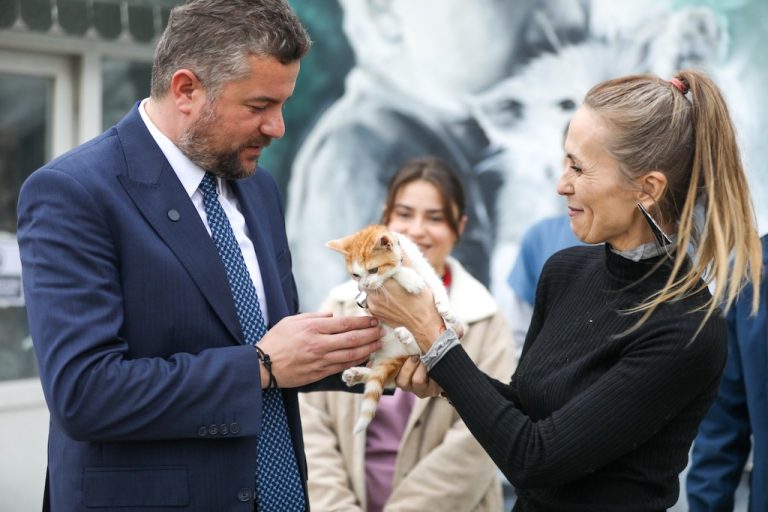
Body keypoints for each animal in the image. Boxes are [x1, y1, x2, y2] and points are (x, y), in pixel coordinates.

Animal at [326, 224, 462, 432]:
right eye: (356, 275)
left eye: (373, 270)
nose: (365, 284)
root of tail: (398, 354)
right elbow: (396, 272)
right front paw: (409, 278)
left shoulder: (426, 269)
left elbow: (436, 287)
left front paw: (448, 313)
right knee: (386, 377)